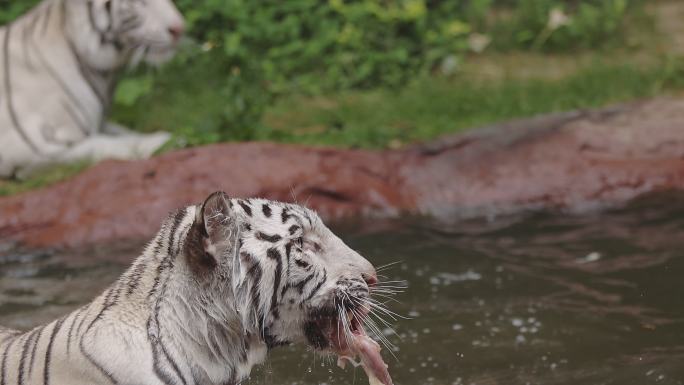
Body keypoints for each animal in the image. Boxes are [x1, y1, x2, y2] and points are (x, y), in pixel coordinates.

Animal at [0, 0, 184, 178]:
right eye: (140, 1)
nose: (179, 29)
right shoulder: (26, 146)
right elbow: (102, 145)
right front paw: (163, 142)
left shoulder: (99, 123)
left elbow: (126, 132)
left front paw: (169, 137)